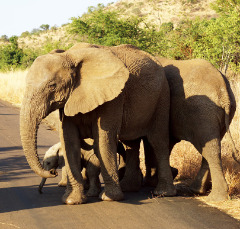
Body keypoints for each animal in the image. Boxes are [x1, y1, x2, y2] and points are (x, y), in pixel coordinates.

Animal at [20, 43, 174, 205]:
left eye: (52, 86)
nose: (52, 172)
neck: (69, 55)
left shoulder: (114, 97)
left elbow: (103, 140)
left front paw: (109, 198)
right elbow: (70, 141)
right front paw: (72, 201)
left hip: (162, 96)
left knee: (158, 141)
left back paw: (163, 192)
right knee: (131, 143)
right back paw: (129, 188)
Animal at [142, 58, 238, 201]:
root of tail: (224, 91)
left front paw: (150, 182)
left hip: (202, 112)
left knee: (210, 150)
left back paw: (215, 198)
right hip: (222, 111)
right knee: (211, 147)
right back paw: (198, 190)